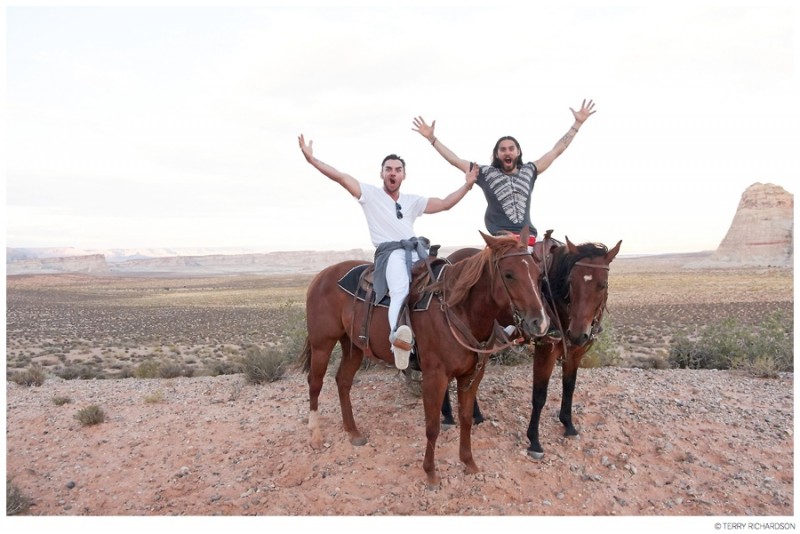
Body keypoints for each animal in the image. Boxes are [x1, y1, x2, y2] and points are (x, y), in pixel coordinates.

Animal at [300, 228, 552, 488]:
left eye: (538, 274)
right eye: (509, 274)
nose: (540, 323)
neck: (458, 310)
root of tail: (322, 275)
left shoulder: (471, 375)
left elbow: (466, 419)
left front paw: (468, 462)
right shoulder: (435, 378)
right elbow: (432, 426)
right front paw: (430, 472)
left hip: (353, 347)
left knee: (343, 381)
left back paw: (352, 431)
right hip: (322, 344)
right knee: (315, 383)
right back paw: (315, 435)